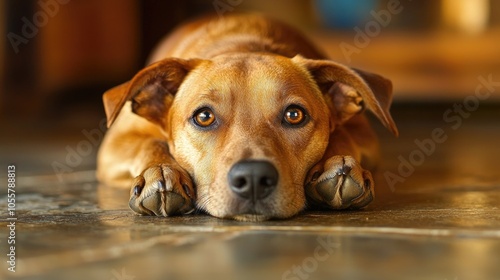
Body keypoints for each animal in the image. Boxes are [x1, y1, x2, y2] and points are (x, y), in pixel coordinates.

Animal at [95, 13, 396, 221]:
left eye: (294, 115)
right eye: (204, 116)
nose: (253, 178)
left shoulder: (364, 135)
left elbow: (341, 134)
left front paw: (334, 165)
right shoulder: (114, 144)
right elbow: (151, 144)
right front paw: (161, 171)